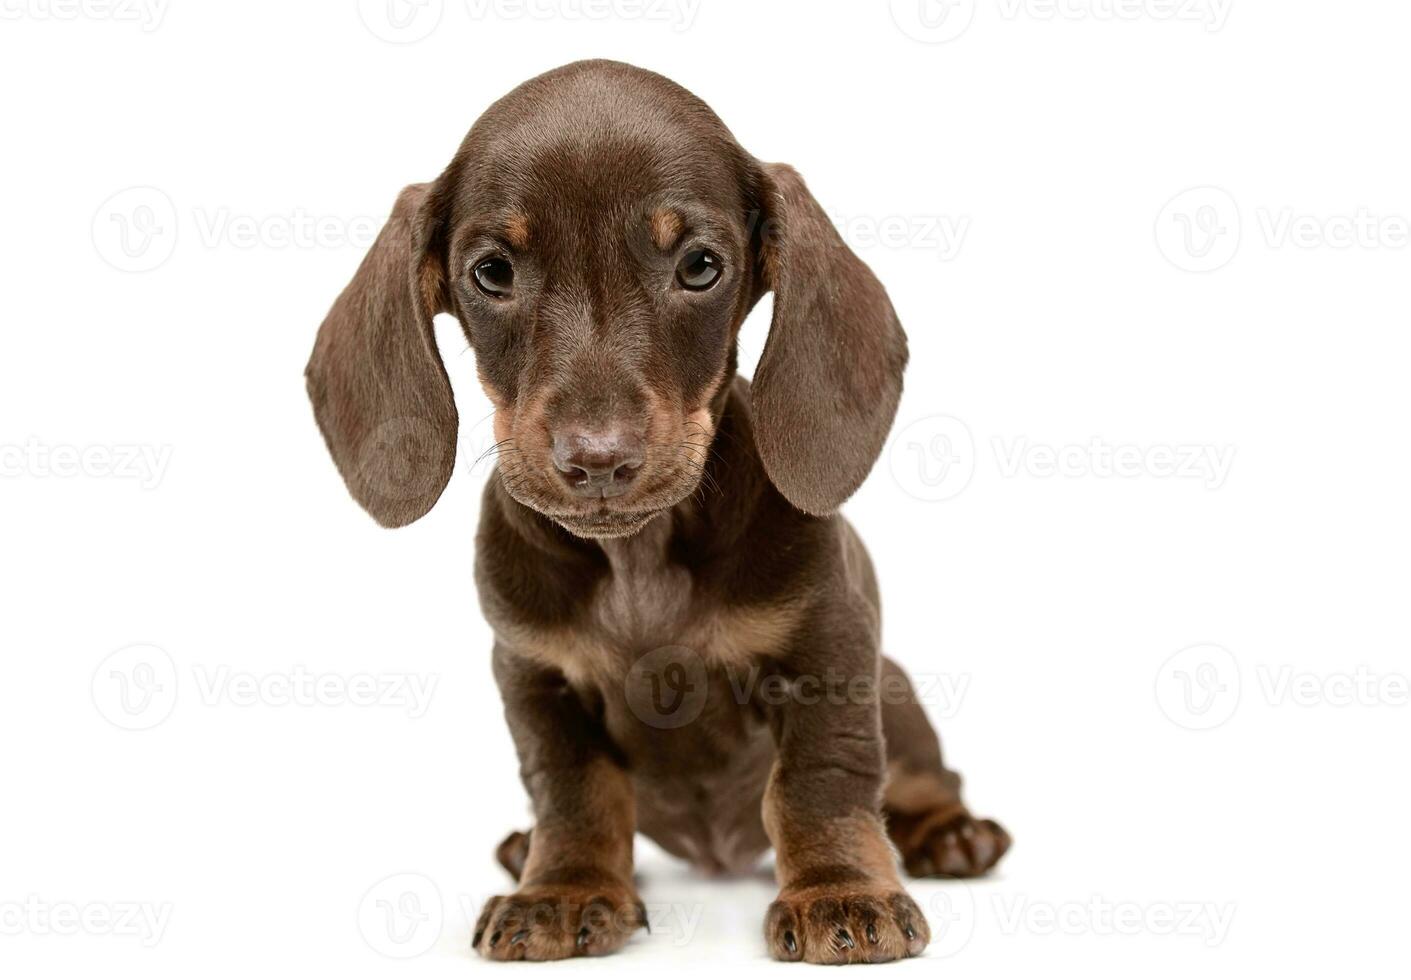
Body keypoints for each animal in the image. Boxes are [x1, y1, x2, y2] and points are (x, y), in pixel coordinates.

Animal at [303, 57, 1010, 964]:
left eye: (700, 266)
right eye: (491, 272)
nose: (597, 461)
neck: (638, 561)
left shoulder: (827, 652)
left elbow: (821, 779)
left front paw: (838, 890)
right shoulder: (534, 675)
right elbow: (573, 794)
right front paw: (563, 887)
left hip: (898, 693)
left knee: (923, 775)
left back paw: (949, 834)